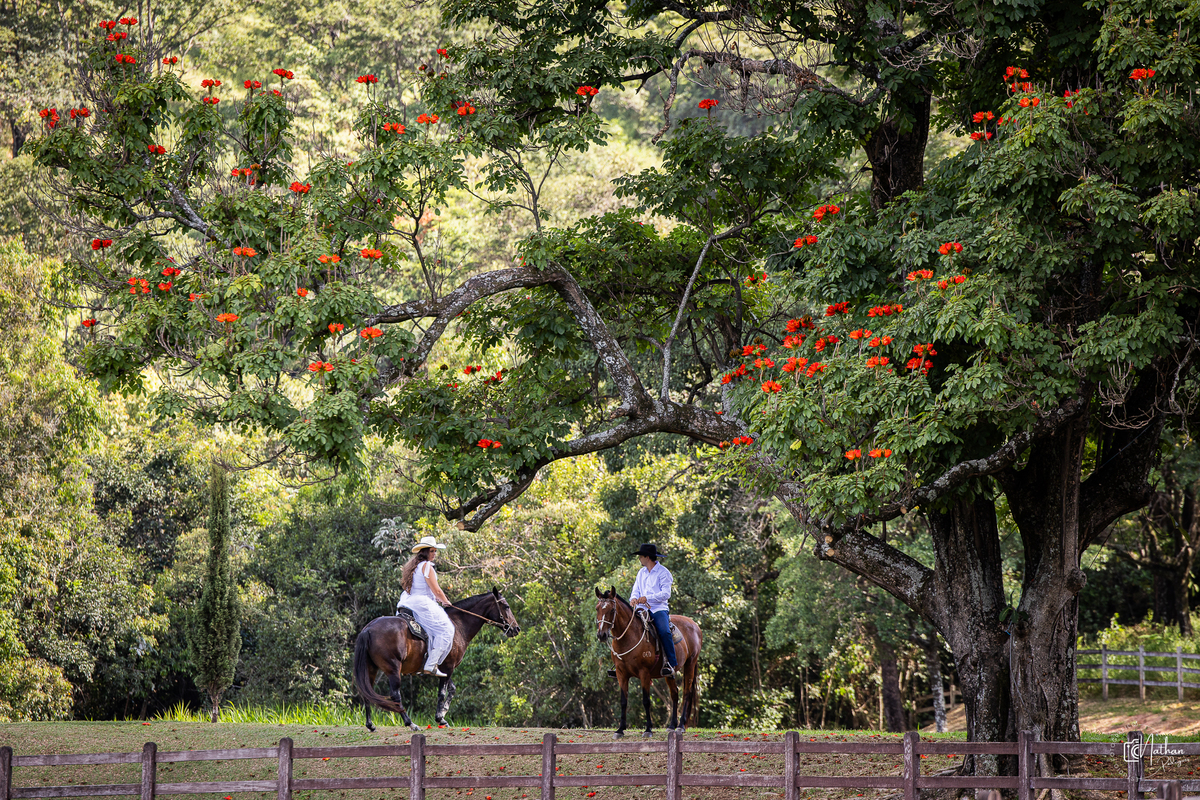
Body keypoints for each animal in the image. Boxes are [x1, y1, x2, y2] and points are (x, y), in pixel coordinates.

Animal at [352, 587, 520, 731]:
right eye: (506, 606)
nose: (516, 629)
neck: (458, 624)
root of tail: (368, 629)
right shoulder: (449, 667)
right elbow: (442, 693)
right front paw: (439, 717)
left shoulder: (444, 669)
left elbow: (452, 689)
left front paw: (444, 714)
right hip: (393, 669)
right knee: (395, 695)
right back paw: (410, 723)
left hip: (371, 668)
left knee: (367, 692)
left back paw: (370, 724)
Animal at [594, 586, 702, 738]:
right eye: (597, 608)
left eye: (612, 610)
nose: (601, 635)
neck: (630, 637)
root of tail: (694, 624)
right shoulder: (621, 674)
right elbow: (623, 701)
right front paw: (620, 729)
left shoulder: (644, 673)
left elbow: (646, 701)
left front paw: (648, 729)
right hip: (669, 673)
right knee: (674, 693)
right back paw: (671, 726)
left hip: (690, 664)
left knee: (686, 693)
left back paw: (680, 726)